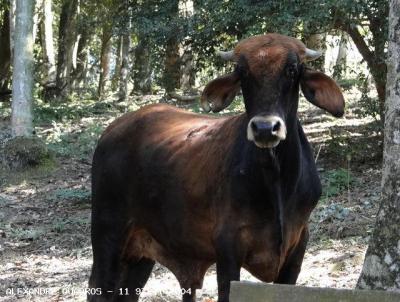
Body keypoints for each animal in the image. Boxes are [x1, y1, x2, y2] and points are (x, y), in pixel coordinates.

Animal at [89, 33, 346, 302]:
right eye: (242, 72)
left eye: (292, 69)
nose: (265, 128)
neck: (275, 180)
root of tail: (112, 129)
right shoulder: (228, 248)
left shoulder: (297, 246)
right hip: (107, 236)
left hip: (140, 256)